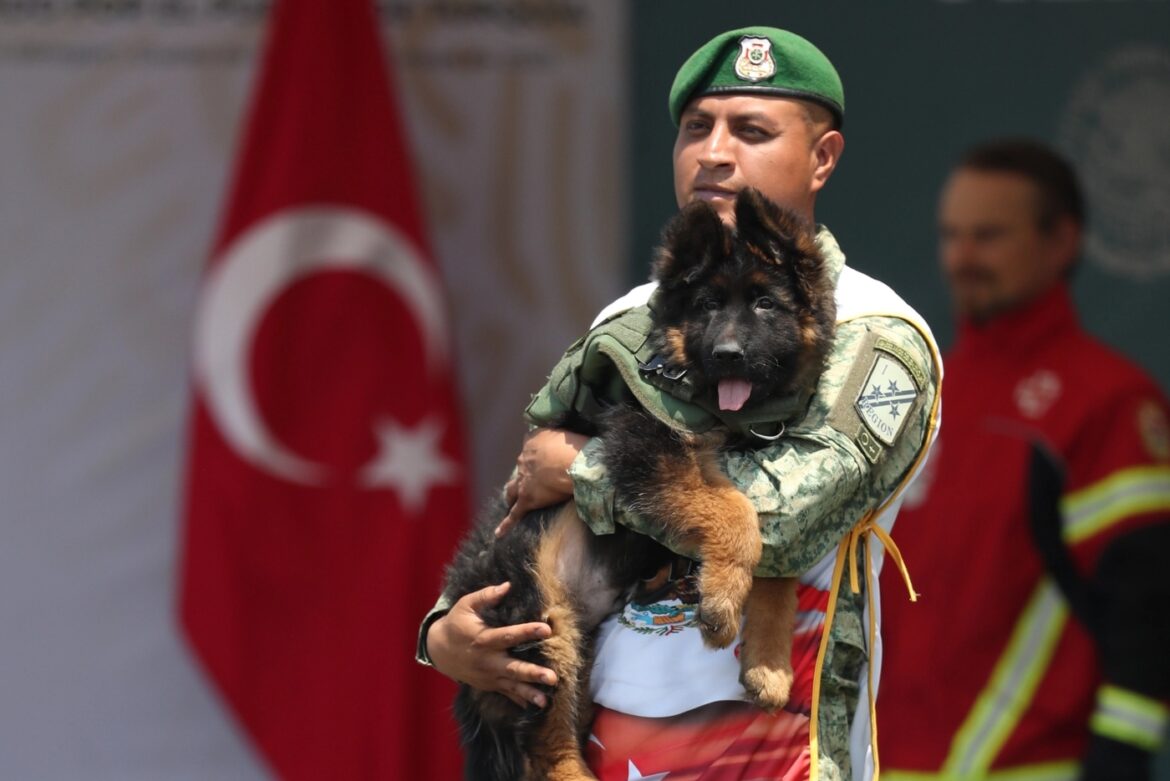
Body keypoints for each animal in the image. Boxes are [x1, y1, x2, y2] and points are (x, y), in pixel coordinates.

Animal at [442, 189, 837, 781]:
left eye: (766, 304)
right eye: (707, 306)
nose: (727, 355)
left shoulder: (767, 482)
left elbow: (774, 562)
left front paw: (767, 664)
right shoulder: (646, 445)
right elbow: (735, 513)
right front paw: (722, 602)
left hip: (569, 645)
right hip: (538, 626)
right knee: (549, 750)